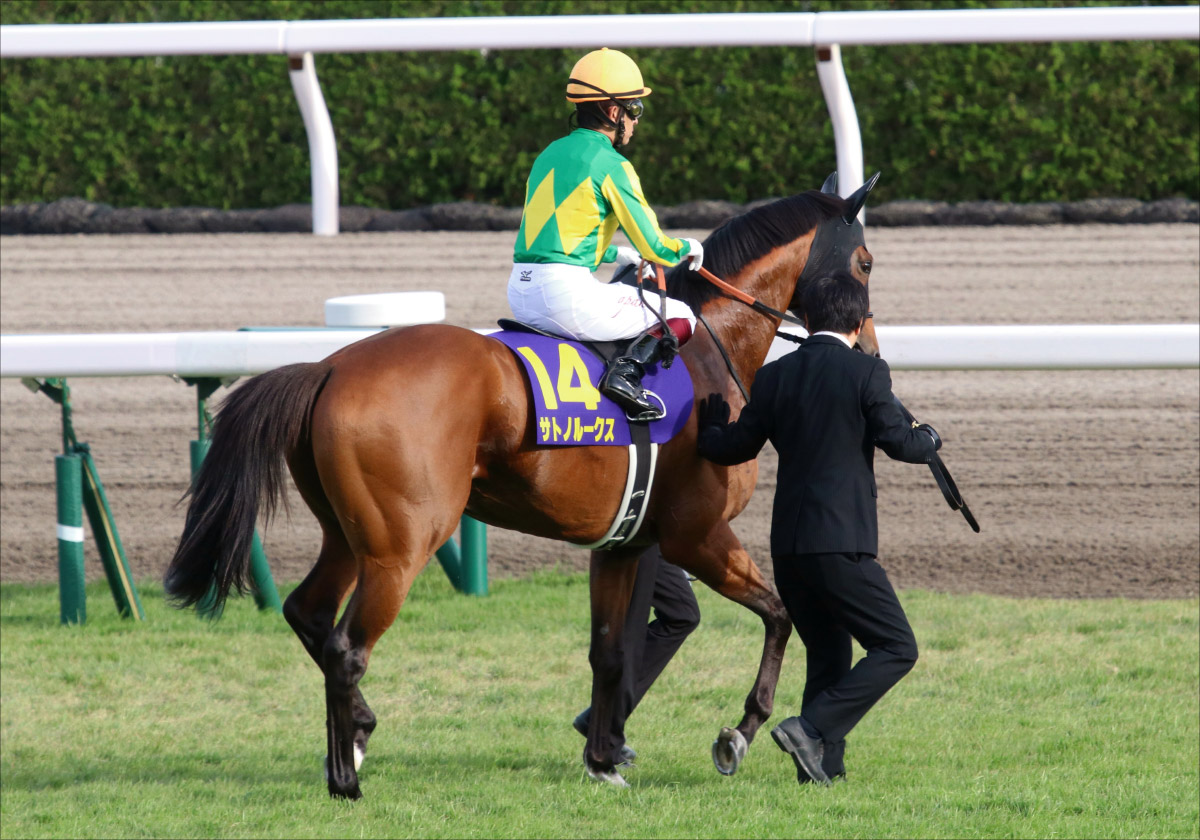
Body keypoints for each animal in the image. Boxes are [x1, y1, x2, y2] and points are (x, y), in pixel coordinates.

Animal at [164, 172, 881, 799]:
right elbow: (779, 614)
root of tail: (330, 367)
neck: (709, 353)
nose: (868, 351)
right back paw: (347, 778)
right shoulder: (696, 534)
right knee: (345, 647)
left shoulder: (622, 544)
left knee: (307, 612)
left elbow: (610, 653)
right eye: (868, 262)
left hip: (348, 535)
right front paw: (740, 732)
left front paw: (603, 761)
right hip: (402, 545)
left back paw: (360, 731)